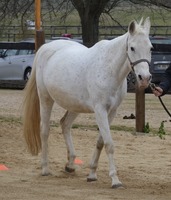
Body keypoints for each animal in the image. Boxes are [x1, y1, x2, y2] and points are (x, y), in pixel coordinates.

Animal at [23, 18, 152, 188]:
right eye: (132, 48)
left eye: (150, 48)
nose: (145, 78)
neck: (109, 69)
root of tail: (45, 48)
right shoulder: (100, 110)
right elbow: (109, 144)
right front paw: (115, 180)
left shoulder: (112, 111)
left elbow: (100, 142)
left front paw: (92, 174)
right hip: (45, 99)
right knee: (44, 130)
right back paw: (45, 168)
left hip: (74, 105)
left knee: (65, 124)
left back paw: (70, 165)